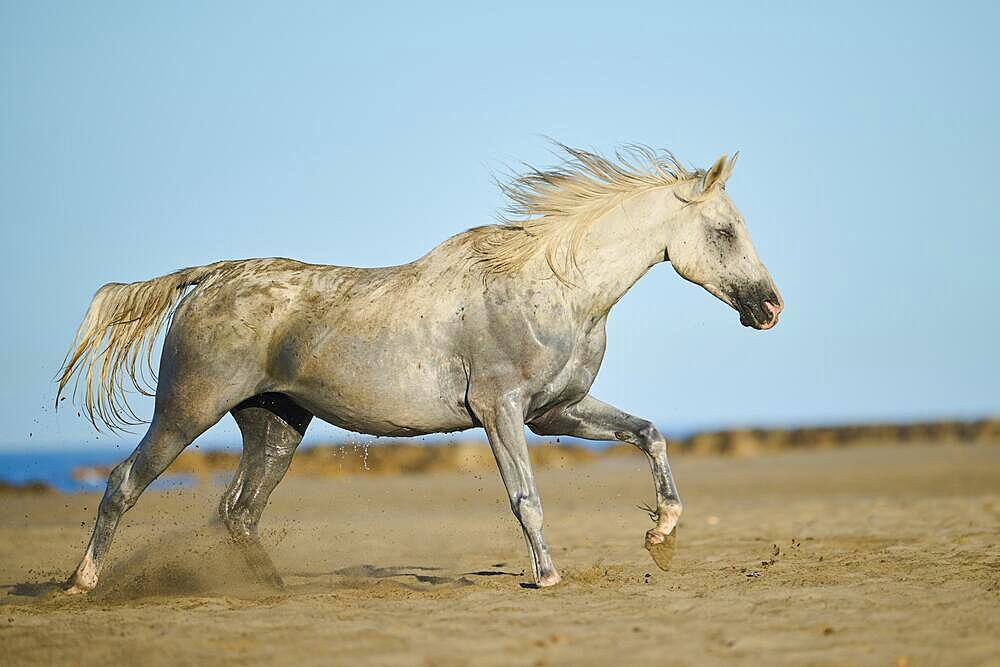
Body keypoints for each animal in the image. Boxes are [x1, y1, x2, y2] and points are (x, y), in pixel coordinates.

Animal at [58, 144, 784, 592]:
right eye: (724, 230)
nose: (771, 306)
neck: (554, 288)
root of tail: (206, 278)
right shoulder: (500, 409)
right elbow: (526, 497)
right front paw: (547, 575)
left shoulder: (556, 412)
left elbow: (649, 433)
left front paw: (661, 533)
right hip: (187, 410)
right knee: (124, 483)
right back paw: (81, 583)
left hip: (275, 425)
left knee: (237, 512)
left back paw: (272, 590)